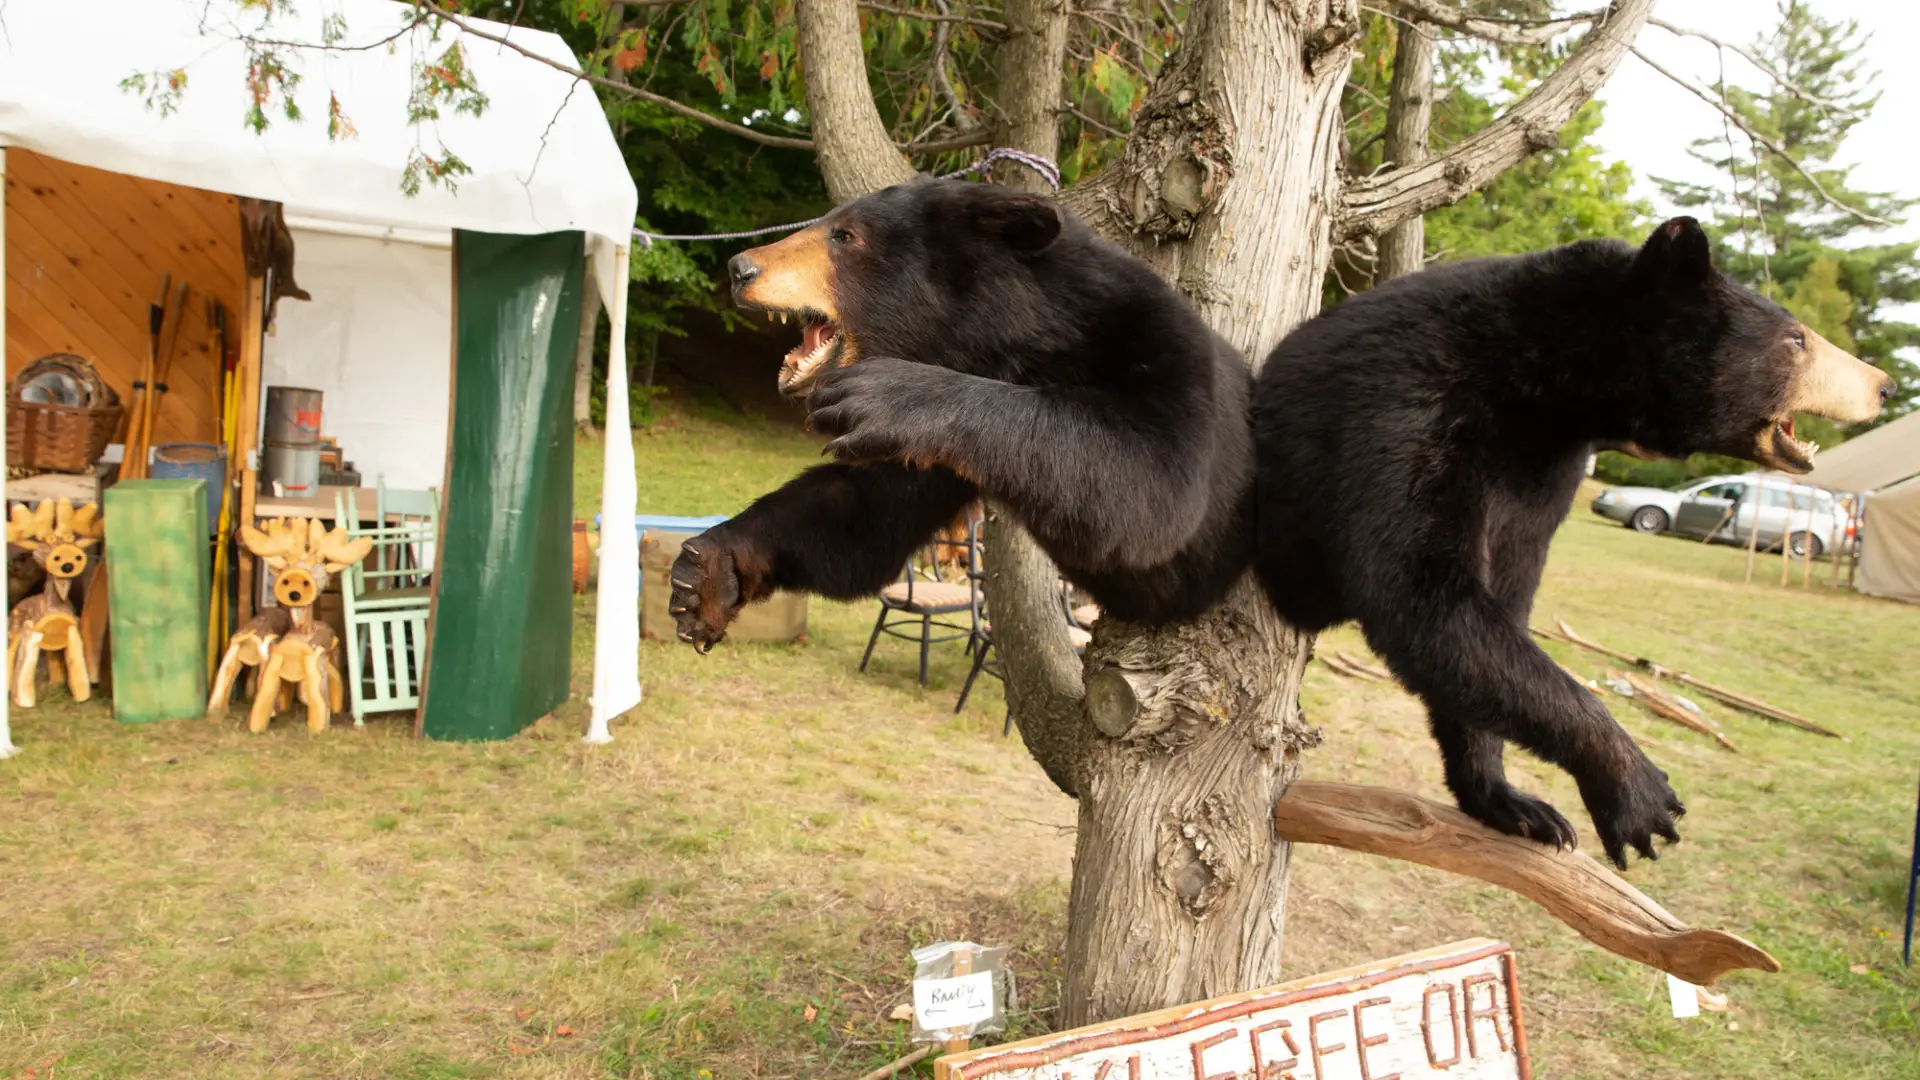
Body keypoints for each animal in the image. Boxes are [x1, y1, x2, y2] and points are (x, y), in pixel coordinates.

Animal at [666, 177, 1255, 652]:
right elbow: (865, 514)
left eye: (845, 236)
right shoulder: (931, 457)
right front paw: (707, 574)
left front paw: (880, 391)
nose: (741, 267)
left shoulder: (1155, 342)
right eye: (831, 224)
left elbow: (1153, 483)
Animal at [1250, 216, 1894, 868]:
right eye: (1797, 338)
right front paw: (1636, 792)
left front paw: (1512, 801)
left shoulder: (1541, 477)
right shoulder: (1408, 401)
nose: (1886, 386)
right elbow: (1418, 590)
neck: (1546, 385)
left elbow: (1497, 601)